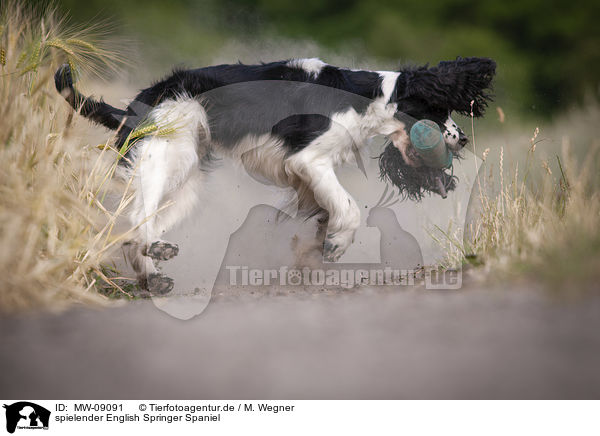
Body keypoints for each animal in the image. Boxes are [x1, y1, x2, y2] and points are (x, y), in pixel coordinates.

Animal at [54, 55, 494, 292]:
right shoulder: (309, 160)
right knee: (135, 216)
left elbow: (321, 215)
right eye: (438, 110)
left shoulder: (306, 179)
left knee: (136, 228)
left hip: (188, 183)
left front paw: (311, 259)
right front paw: (336, 246)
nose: (462, 139)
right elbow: (349, 208)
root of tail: (133, 106)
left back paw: (154, 277)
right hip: (166, 155)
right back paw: (156, 257)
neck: (367, 96)